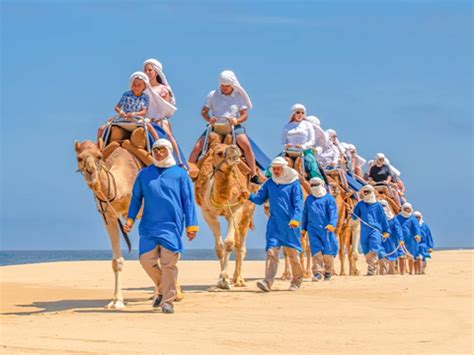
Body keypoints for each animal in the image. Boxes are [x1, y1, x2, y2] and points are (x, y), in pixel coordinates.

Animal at [194, 134, 258, 290]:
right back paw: (235, 278)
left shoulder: (236, 208)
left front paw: (224, 279)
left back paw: (239, 280)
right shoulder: (207, 212)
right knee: (238, 242)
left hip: (247, 213)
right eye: (219, 153)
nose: (234, 149)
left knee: (240, 245)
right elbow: (219, 246)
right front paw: (221, 280)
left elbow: (229, 243)